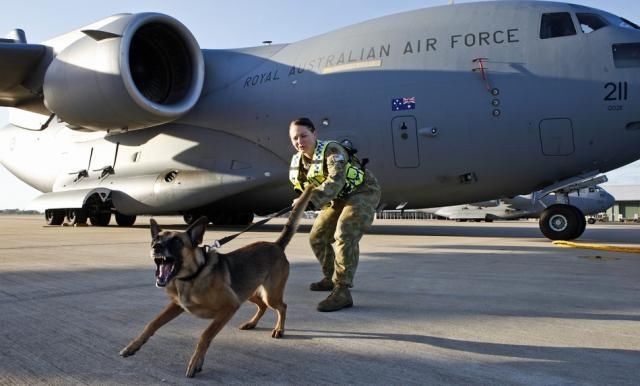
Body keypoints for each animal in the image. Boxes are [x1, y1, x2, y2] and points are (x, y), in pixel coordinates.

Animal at [119, 186, 312, 376]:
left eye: (176, 240)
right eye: (155, 238)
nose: (156, 247)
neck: (192, 277)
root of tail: (276, 245)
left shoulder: (229, 307)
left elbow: (205, 335)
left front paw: (196, 362)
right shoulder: (176, 306)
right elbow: (152, 323)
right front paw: (132, 346)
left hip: (268, 295)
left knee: (282, 307)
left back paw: (279, 329)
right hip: (248, 292)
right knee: (263, 306)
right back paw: (252, 323)